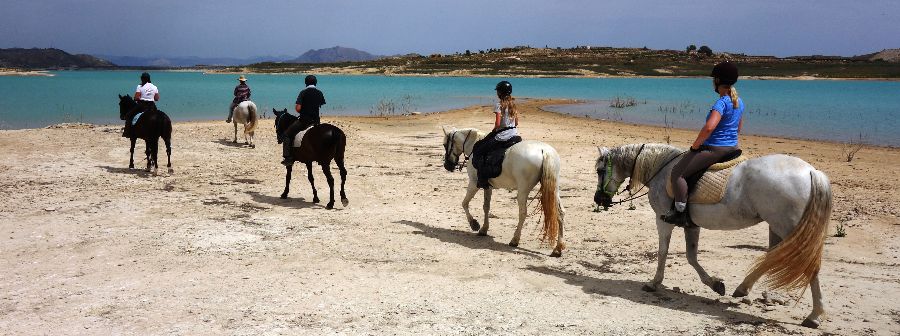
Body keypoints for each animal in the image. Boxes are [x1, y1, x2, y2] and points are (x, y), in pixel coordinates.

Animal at [444, 127, 568, 256]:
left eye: (444, 145)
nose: (447, 166)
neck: (474, 145)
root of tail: (544, 150)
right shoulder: (488, 187)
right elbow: (486, 207)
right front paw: (484, 229)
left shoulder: (473, 184)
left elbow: (464, 203)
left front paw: (474, 224)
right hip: (554, 189)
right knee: (560, 212)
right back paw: (558, 248)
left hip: (523, 191)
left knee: (523, 213)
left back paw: (515, 240)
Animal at [596, 143, 832, 326]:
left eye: (599, 170)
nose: (599, 199)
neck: (661, 170)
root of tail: (811, 171)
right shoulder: (691, 225)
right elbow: (691, 257)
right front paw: (715, 284)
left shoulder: (662, 221)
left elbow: (663, 252)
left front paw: (654, 283)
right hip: (776, 227)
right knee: (771, 258)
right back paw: (743, 289)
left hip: (787, 227)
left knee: (807, 264)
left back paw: (814, 316)